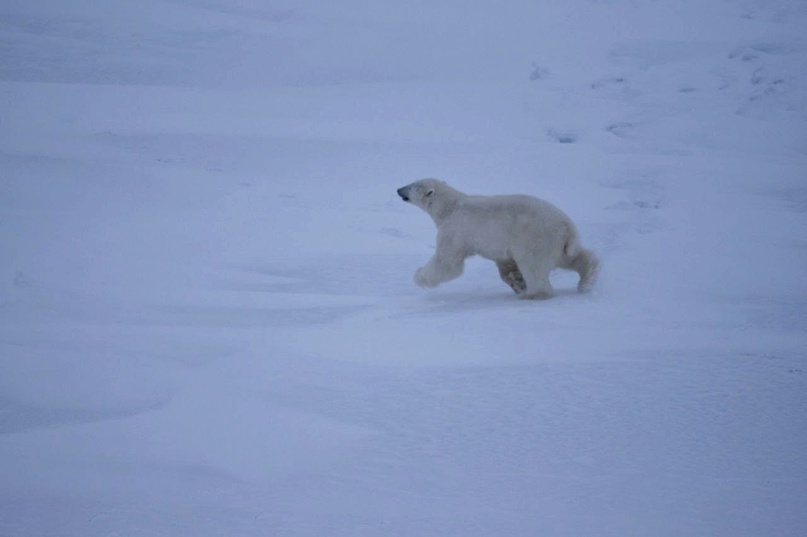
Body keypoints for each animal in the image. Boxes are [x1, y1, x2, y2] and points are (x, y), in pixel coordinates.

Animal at [398, 179, 600, 298]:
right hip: (558, 243)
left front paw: (419, 276)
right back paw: (586, 281)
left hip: (534, 237)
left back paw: (534, 293)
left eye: (412, 185)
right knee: (573, 257)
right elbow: (505, 263)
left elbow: (447, 262)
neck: (449, 206)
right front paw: (517, 282)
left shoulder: (455, 230)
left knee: (533, 265)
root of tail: (567, 226)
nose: (398, 189)